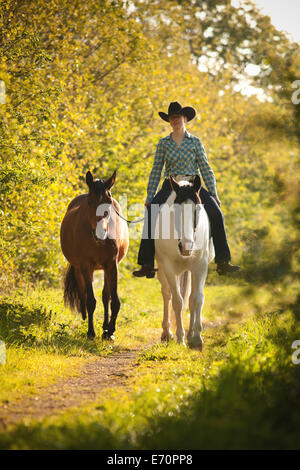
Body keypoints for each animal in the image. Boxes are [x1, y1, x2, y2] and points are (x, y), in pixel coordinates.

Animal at [60, 171, 129, 340]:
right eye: (90, 201)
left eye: (108, 201)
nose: (100, 233)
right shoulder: (86, 266)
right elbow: (90, 300)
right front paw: (91, 332)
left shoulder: (112, 264)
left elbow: (114, 301)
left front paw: (110, 331)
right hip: (80, 268)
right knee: (84, 293)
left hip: (104, 268)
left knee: (105, 296)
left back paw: (105, 327)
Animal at [154, 175, 214, 348]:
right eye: (176, 210)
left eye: (197, 210)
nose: (186, 246)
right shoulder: (169, 268)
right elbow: (177, 301)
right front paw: (180, 338)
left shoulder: (200, 266)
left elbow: (196, 299)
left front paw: (196, 337)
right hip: (162, 270)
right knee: (167, 294)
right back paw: (167, 333)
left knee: (191, 297)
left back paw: (189, 335)